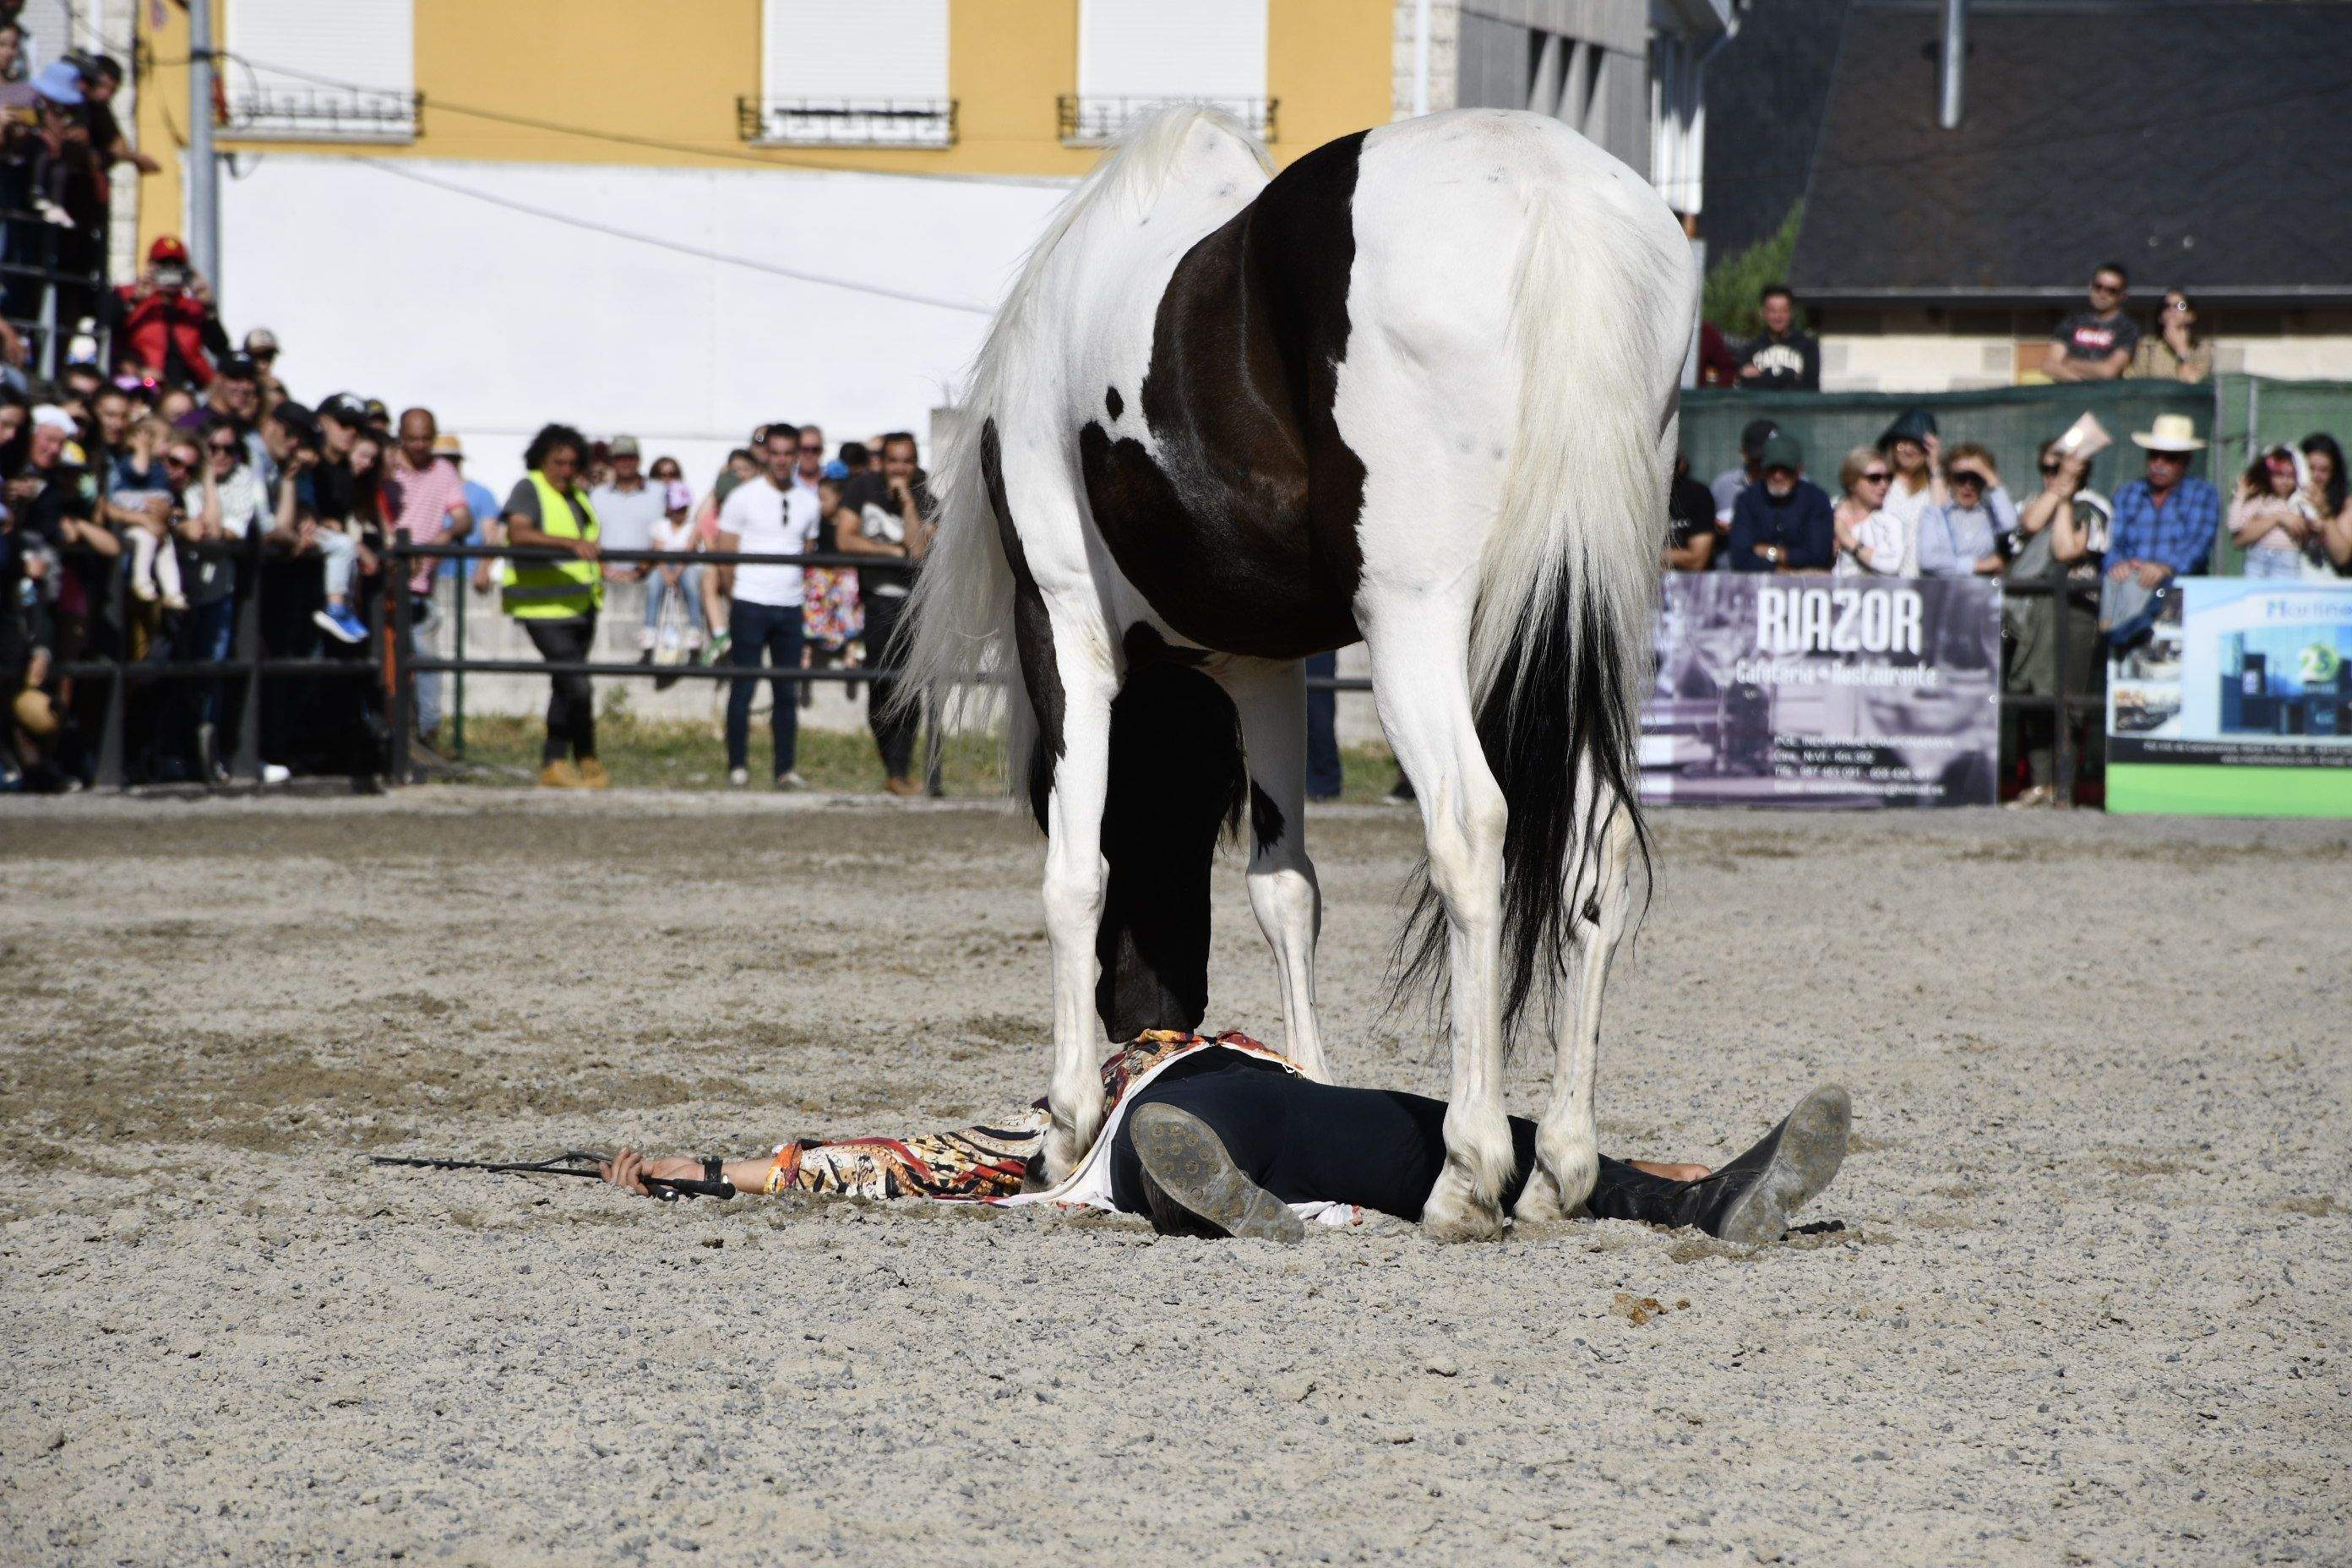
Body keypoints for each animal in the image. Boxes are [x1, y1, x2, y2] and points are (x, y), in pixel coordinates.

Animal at [898, 107, 1693, 1241]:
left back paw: (1469, 1171)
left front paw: (1066, 1118)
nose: (1150, 1028)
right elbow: (1284, 889)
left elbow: (1074, 872)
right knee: (1602, 849)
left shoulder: (1060, 622)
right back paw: (1558, 1169)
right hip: (1596, 627)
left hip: (1415, 623)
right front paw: (1308, 1084)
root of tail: (1545, 183)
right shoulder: (1265, 667)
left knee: (1470, 828)